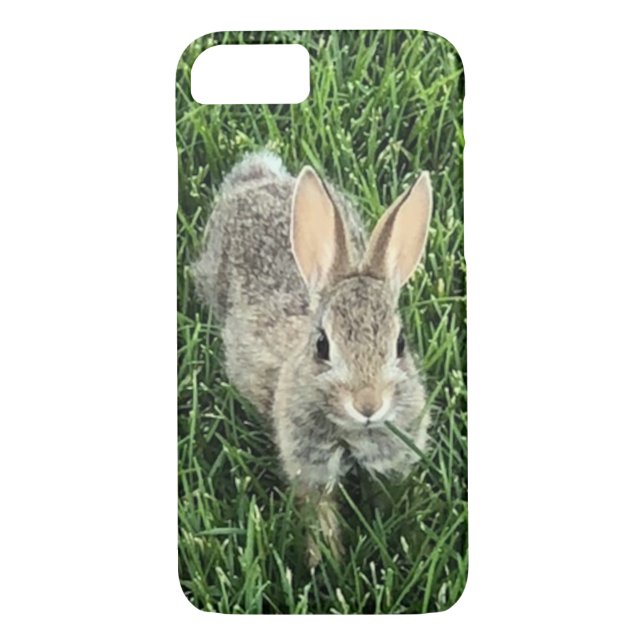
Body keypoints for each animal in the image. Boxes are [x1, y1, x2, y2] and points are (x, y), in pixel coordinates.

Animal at [193, 150, 433, 564]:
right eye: (322, 345)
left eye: (400, 344)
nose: (368, 404)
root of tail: (256, 181)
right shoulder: (310, 464)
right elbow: (320, 514)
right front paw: (326, 563)